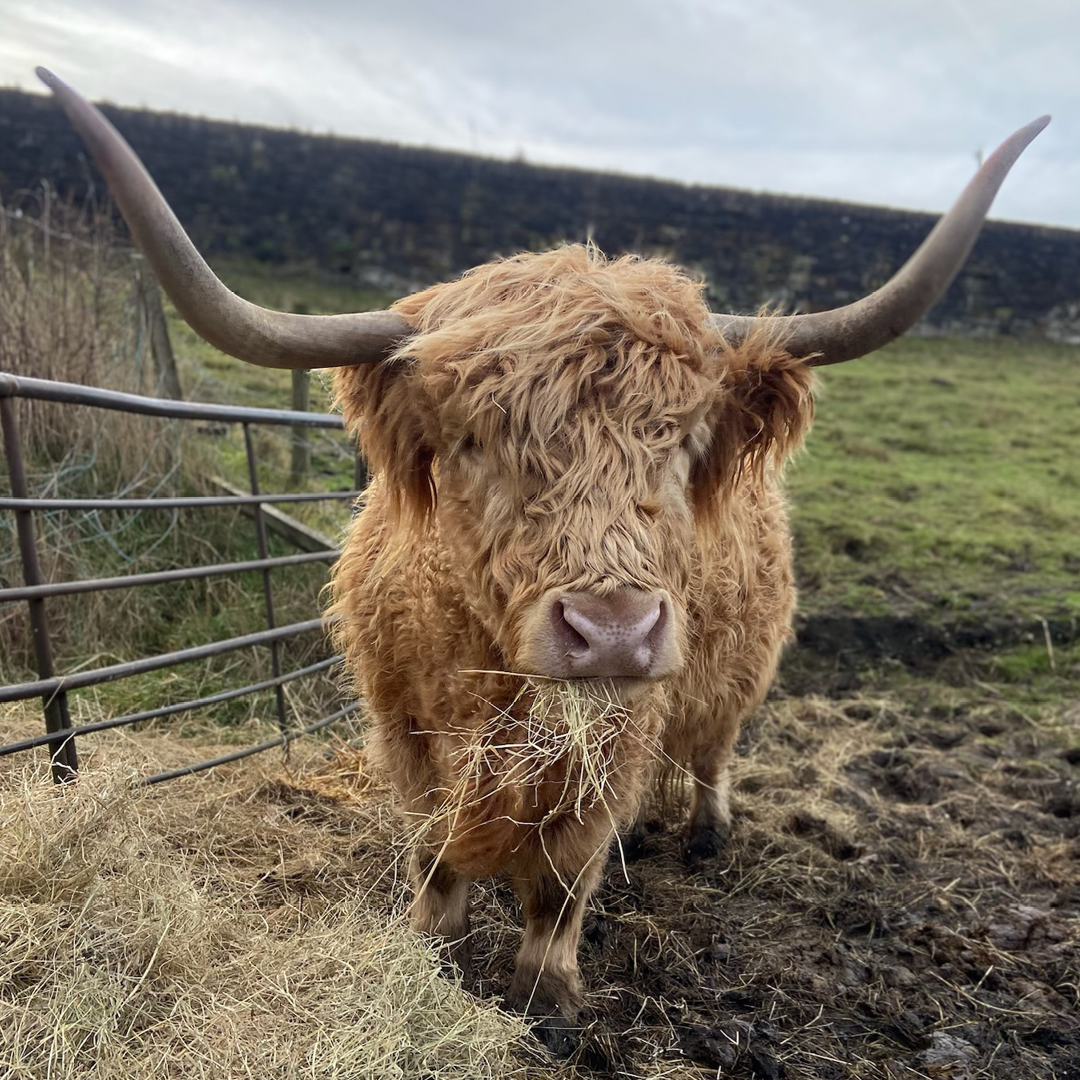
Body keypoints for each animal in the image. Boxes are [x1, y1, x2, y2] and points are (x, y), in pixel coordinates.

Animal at [37, 68, 1047, 1054]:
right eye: (473, 439)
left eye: (682, 441)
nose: (612, 632)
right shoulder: (404, 729)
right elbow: (435, 856)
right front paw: (431, 948)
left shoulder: (618, 741)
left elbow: (564, 878)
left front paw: (546, 992)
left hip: (734, 673)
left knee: (714, 749)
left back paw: (707, 832)